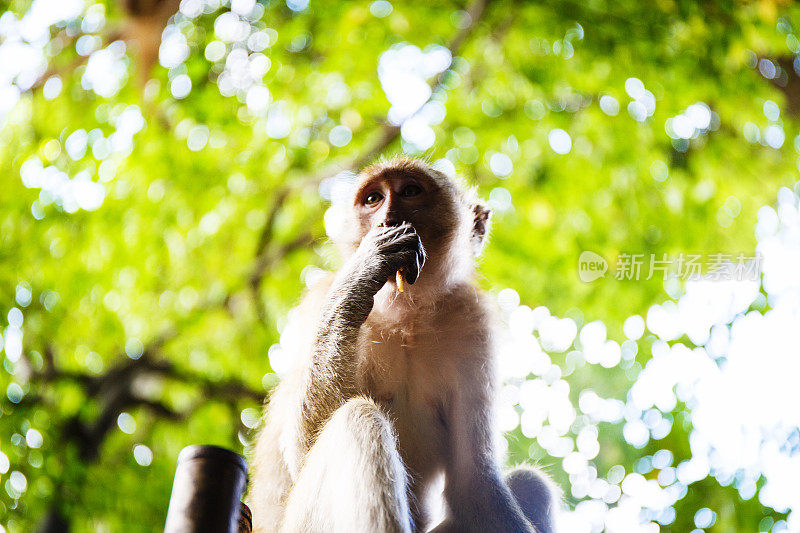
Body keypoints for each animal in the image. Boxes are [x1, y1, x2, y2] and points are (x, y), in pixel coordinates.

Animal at [248, 156, 556, 528]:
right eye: (373, 199)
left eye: (410, 191)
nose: (388, 219)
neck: (406, 316)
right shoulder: (316, 304)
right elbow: (301, 449)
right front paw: (366, 266)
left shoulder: (472, 319)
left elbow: (474, 486)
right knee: (358, 421)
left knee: (531, 483)